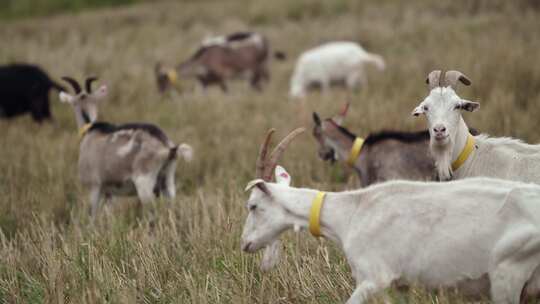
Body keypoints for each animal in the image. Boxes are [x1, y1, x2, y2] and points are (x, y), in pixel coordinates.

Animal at [58, 76, 193, 218]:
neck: (91, 130)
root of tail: (167, 148)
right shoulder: (109, 192)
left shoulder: (94, 187)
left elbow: (92, 215)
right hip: (168, 182)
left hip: (144, 183)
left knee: (151, 212)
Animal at [243, 128, 540, 304]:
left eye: (253, 205)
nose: (244, 243)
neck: (351, 212)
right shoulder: (401, 285)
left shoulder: (374, 277)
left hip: (507, 273)